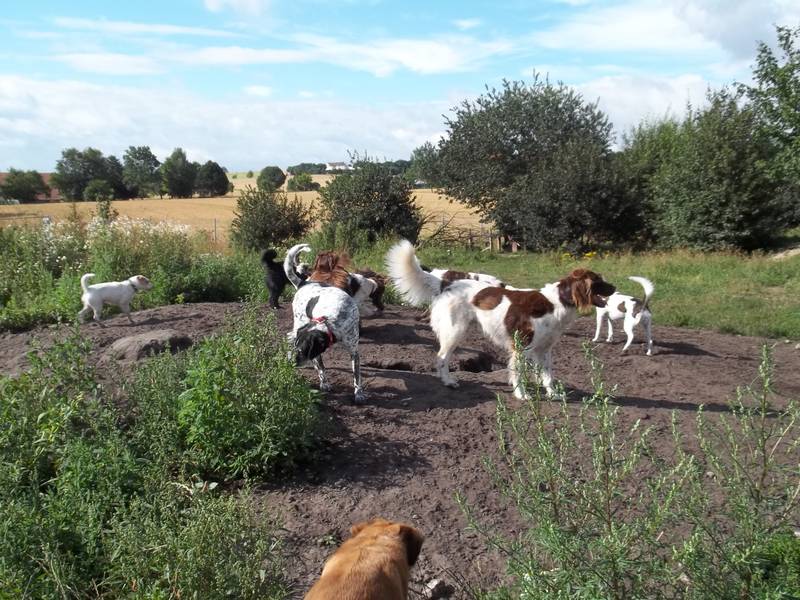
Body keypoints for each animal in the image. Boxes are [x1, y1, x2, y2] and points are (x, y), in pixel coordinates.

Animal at [285, 244, 365, 404]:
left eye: (302, 351)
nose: (290, 364)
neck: (332, 320)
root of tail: (303, 283)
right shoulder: (315, 352)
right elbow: (321, 366)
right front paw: (324, 383)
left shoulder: (354, 350)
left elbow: (357, 375)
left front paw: (358, 392)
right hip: (298, 322)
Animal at [386, 240, 615, 397]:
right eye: (599, 281)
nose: (614, 287)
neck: (556, 302)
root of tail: (447, 282)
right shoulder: (521, 346)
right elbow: (518, 374)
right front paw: (522, 395)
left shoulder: (544, 349)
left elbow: (547, 375)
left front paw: (553, 394)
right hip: (455, 332)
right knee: (442, 357)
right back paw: (448, 382)